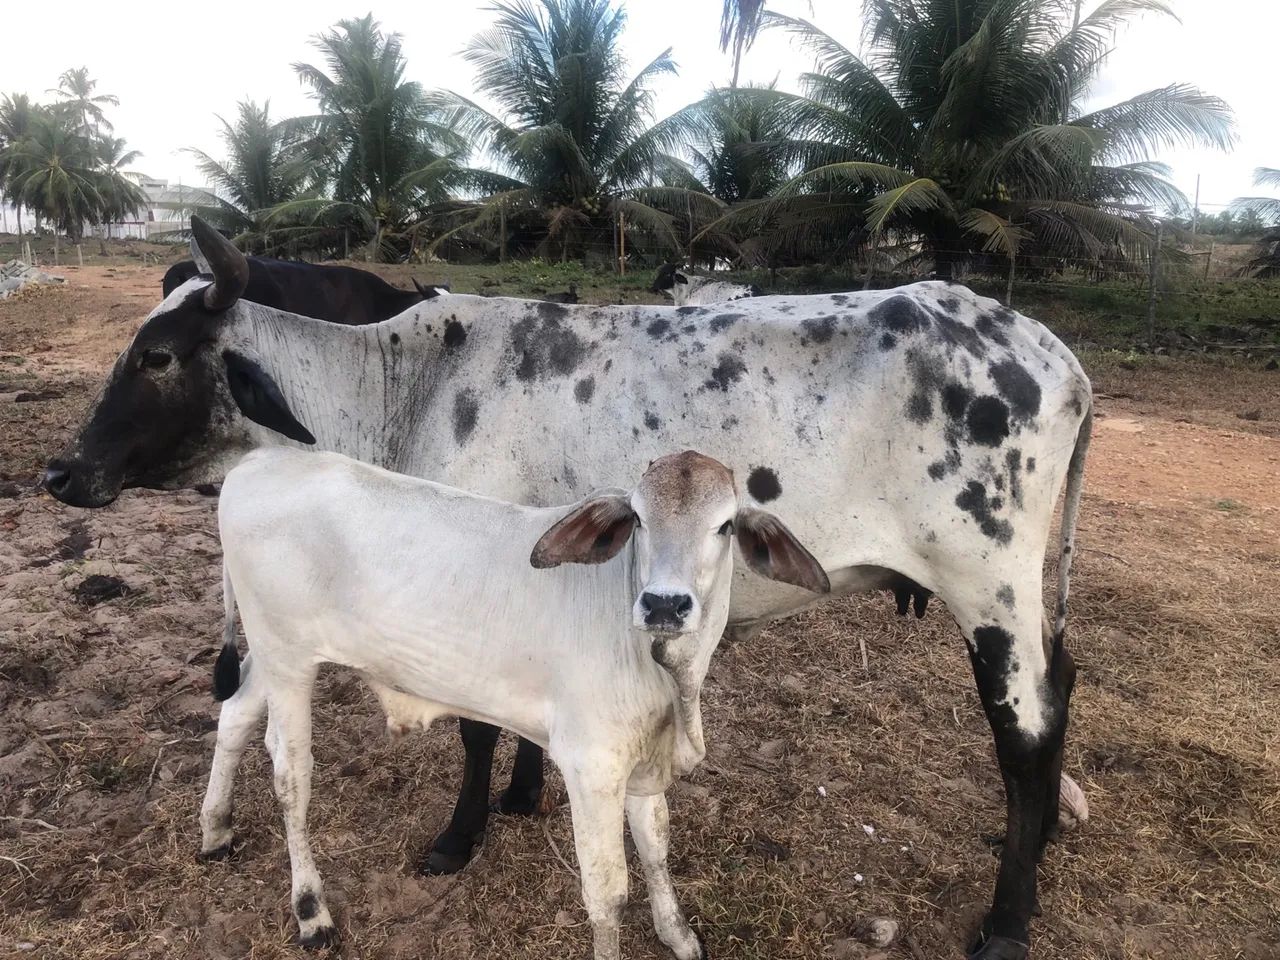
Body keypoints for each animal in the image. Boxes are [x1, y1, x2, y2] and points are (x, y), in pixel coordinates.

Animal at [208, 447, 828, 954]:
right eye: (638, 519)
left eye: (725, 525)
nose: (664, 605)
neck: (668, 678)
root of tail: (256, 462)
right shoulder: (590, 766)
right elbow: (607, 894)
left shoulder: (642, 762)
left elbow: (656, 845)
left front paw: (677, 935)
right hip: (288, 661)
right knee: (290, 775)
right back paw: (311, 912)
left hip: (272, 658)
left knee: (233, 713)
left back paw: (215, 831)